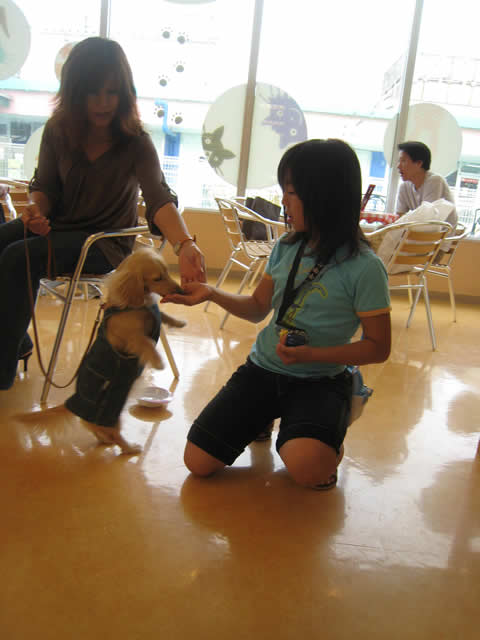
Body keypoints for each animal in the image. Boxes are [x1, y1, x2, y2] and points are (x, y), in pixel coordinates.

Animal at [21, 248, 186, 455]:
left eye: (167, 272)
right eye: (157, 278)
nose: (180, 291)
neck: (131, 303)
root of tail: (73, 402)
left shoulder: (151, 313)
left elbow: (162, 316)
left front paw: (178, 322)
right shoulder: (132, 338)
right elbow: (146, 341)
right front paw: (158, 362)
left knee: (97, 430)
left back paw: (105, 440)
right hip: (111, 414)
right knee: (115, 436)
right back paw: (131, 448)